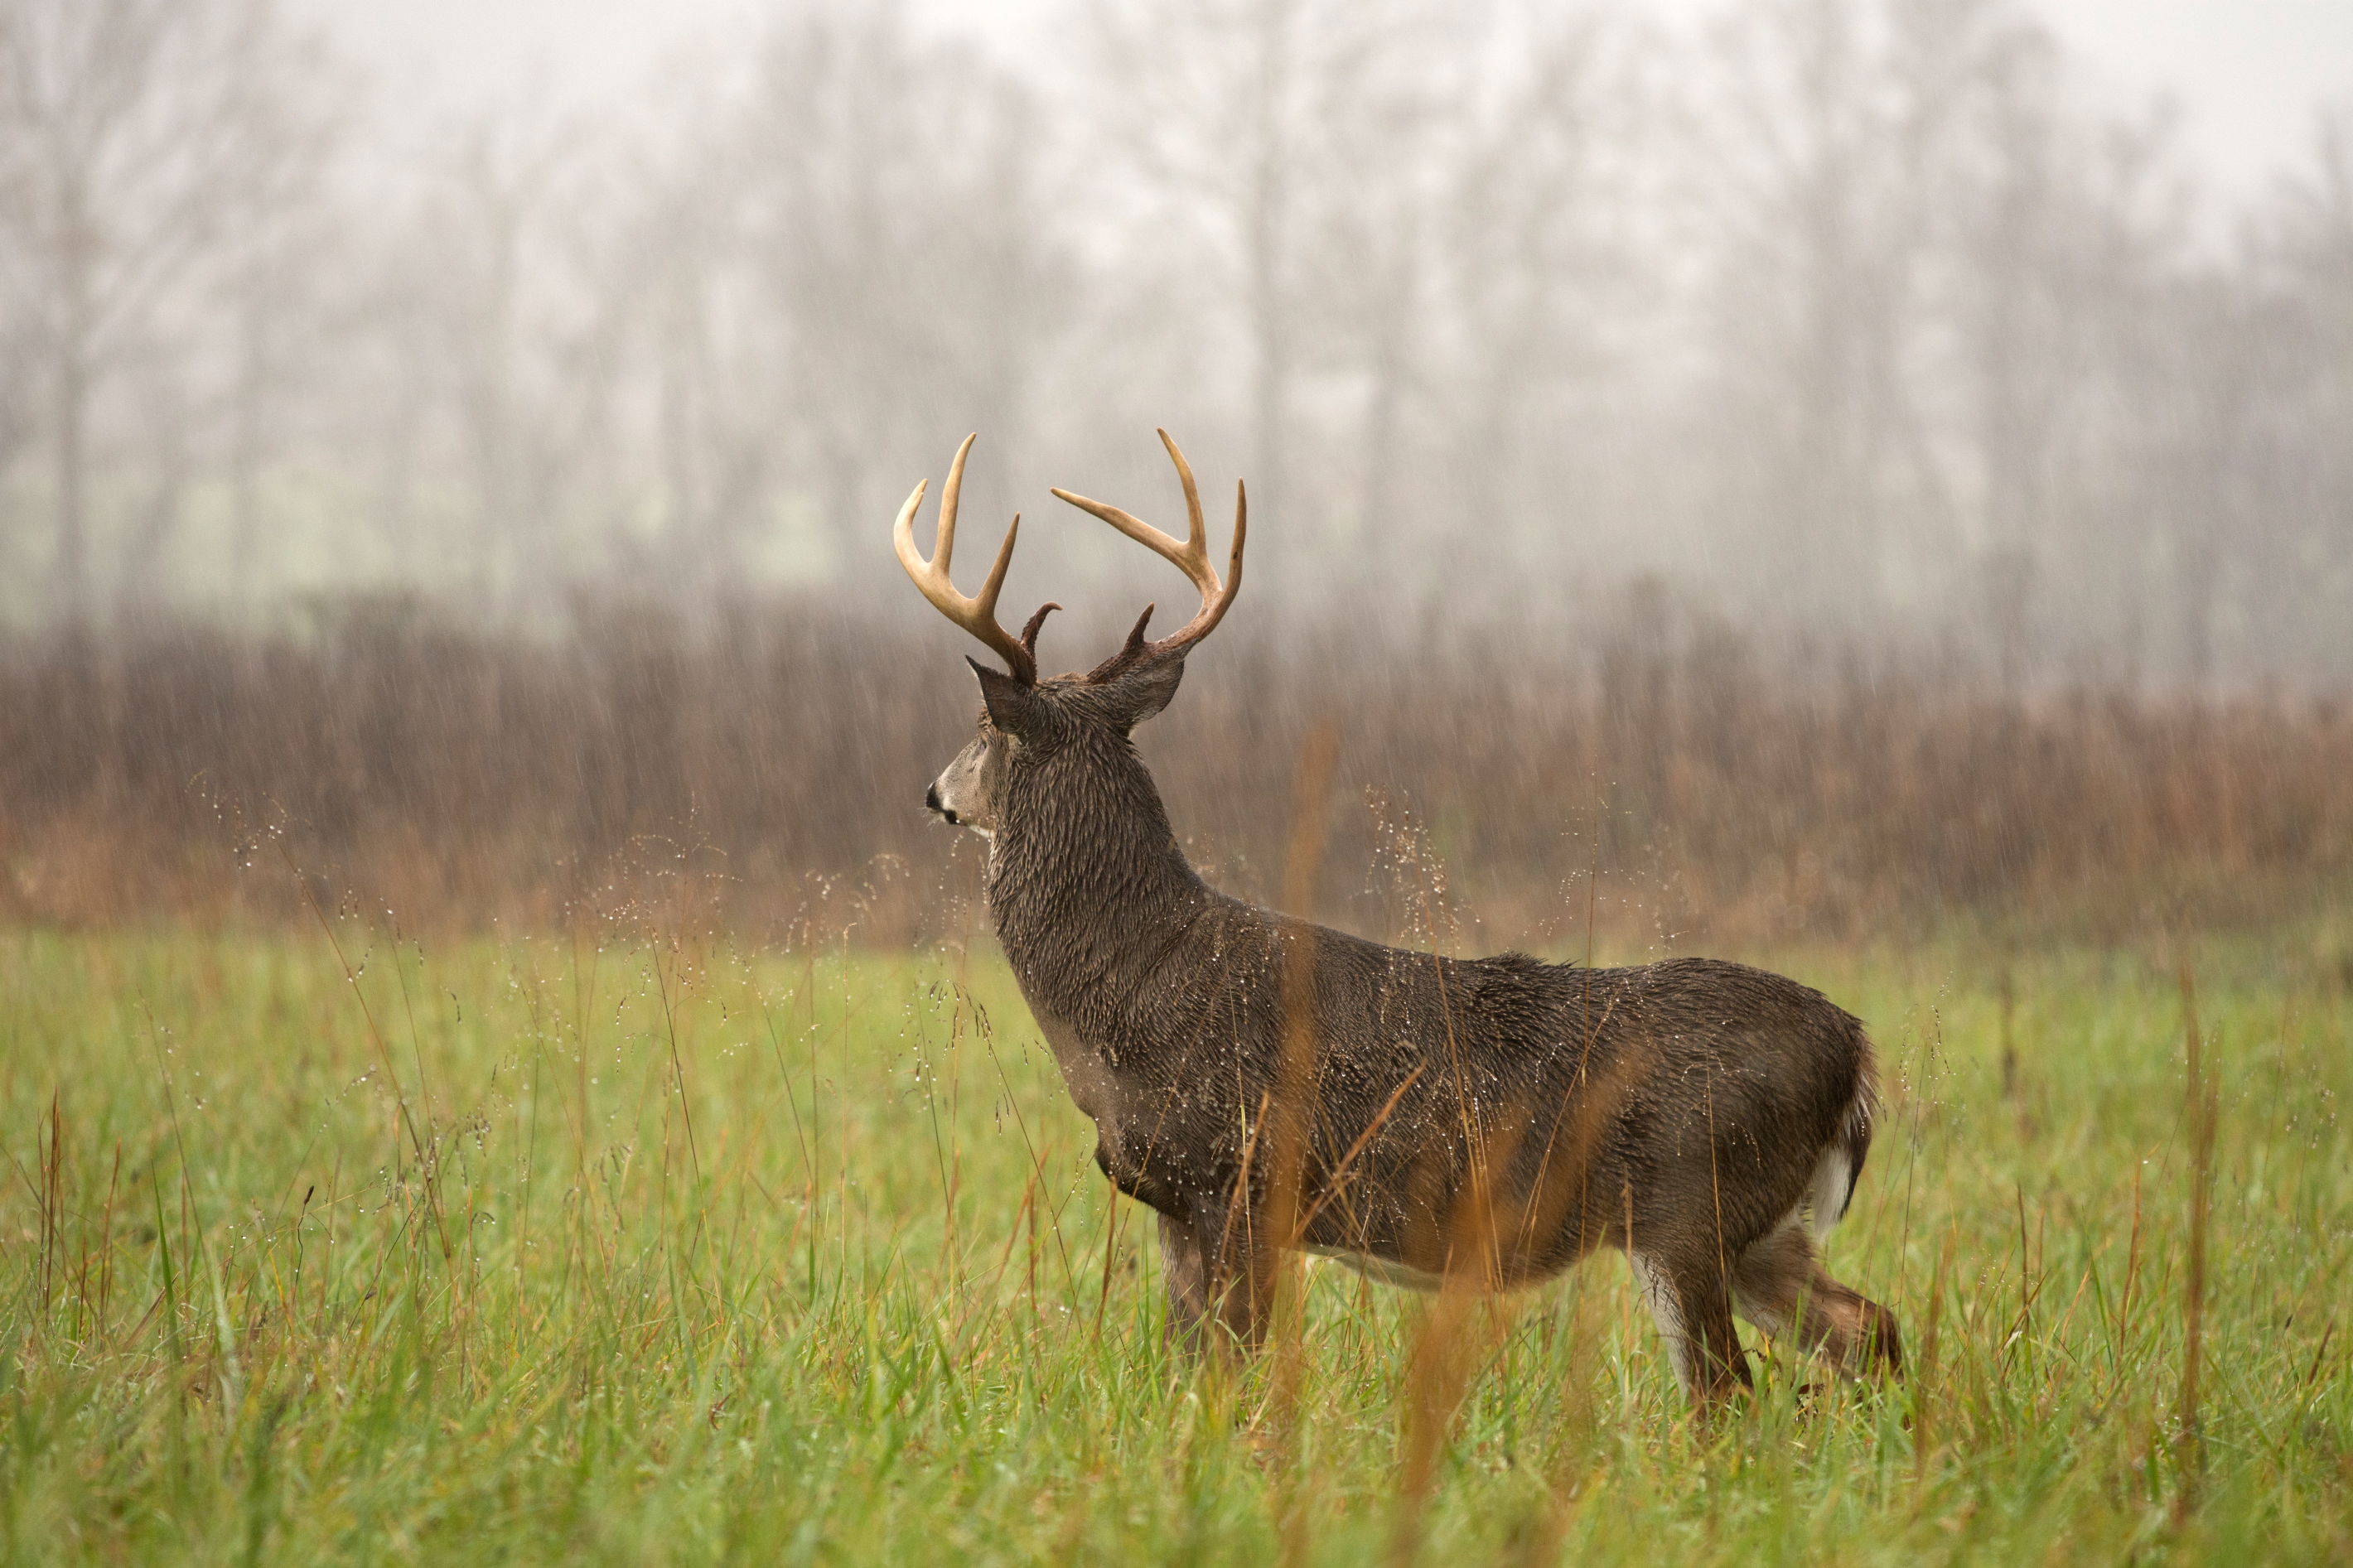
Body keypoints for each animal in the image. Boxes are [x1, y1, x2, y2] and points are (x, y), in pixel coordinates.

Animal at [889, 430, 1901, 1410]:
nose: (933, 793)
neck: (1128, 991)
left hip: (1689, 1204)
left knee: (1725, 1394)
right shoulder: (1180, 1203)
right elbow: (1187, 1370)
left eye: (981, 730)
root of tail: (1854, 1050)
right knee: (1870, 1329)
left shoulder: (1244, 1179)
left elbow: (1231, 1369)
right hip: (1760, 1228)